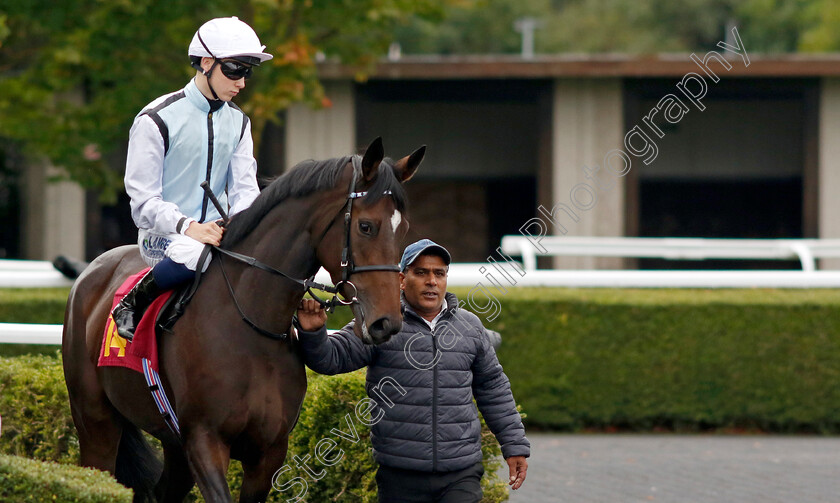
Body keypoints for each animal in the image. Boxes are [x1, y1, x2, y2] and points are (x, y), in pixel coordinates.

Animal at [64, 139, 426, 503]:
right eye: (366, 226)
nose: (387, 322)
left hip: (172, 444)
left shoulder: (269, 450)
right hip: (96, 424)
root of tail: (93, 270)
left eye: (405, 229)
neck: (251, 325)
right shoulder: (204, 440)